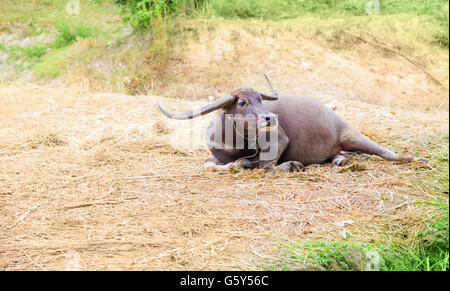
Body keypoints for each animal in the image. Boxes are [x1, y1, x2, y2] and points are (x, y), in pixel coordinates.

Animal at [156, 74, 428, 172]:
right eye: (242, 102)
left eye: (260, 99)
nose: (270, 118)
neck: (235, 144)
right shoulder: (213, 156)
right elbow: (210, 165)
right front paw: (238, 164)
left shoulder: (279, 141)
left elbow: (266, 166)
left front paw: (291, 165)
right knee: (338, 155)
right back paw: (338, 160)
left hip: (352, 134)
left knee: (384, 151)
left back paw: (417, 159)